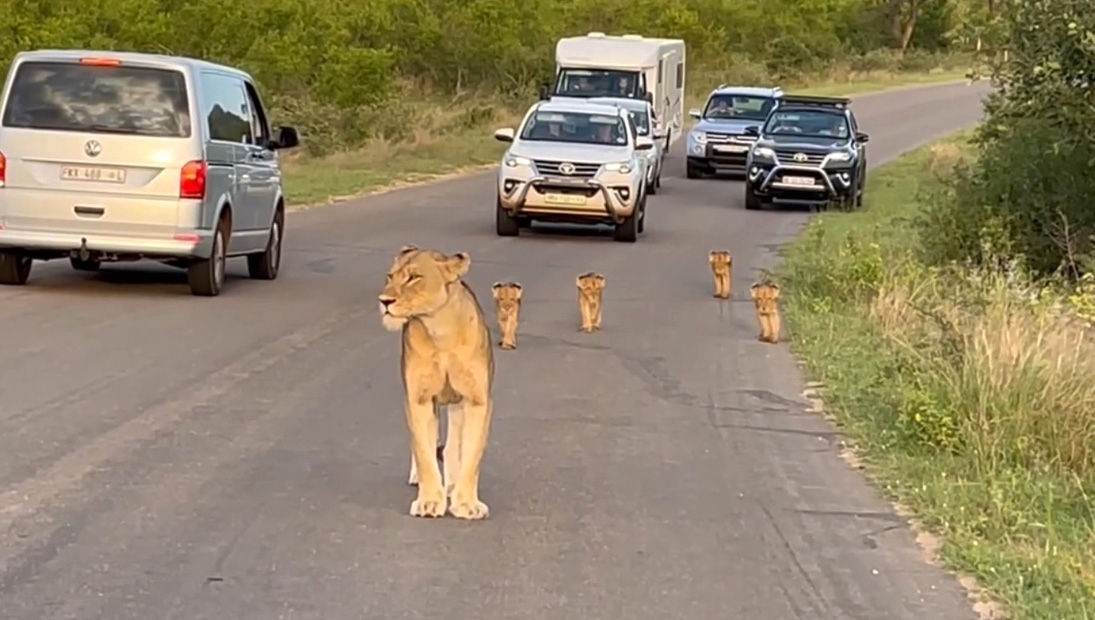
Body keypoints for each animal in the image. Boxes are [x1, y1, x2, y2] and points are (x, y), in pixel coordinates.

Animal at [378, 245, 494, 523]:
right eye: (390, 277)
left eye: (413, 277)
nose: (383, 301)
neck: (440, 330)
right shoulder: (418, 399)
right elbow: (423, 451)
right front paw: (429, 502)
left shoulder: (477, 400)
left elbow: (471, 455)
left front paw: (466, 504)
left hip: (457, 405)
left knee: (453, 446)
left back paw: (451, 484)